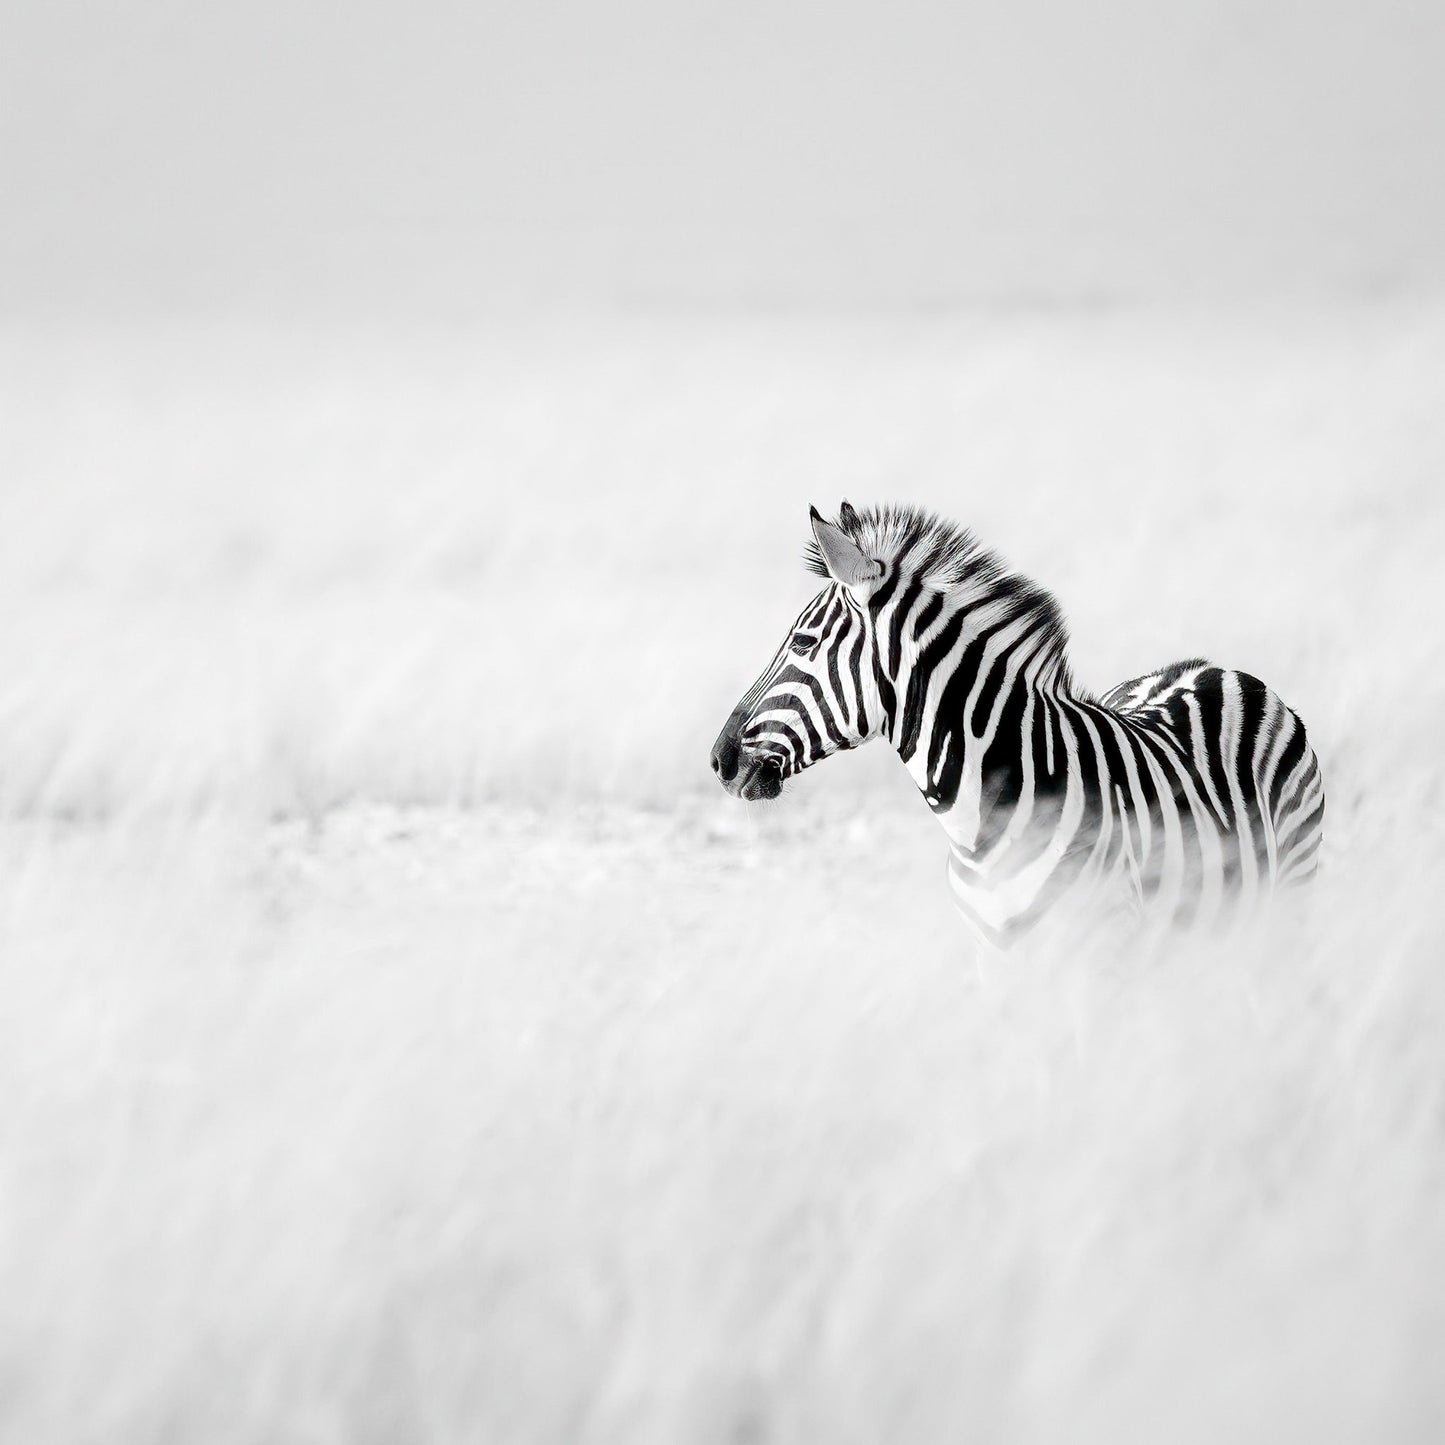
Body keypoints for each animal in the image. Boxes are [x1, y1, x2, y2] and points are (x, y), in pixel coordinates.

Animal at [709, 502, 1324, 947]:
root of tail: (1210, 666)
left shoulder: (1105, 947)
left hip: (1293, 892)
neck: (979, 827)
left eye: (803, 643)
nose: (719, 761)